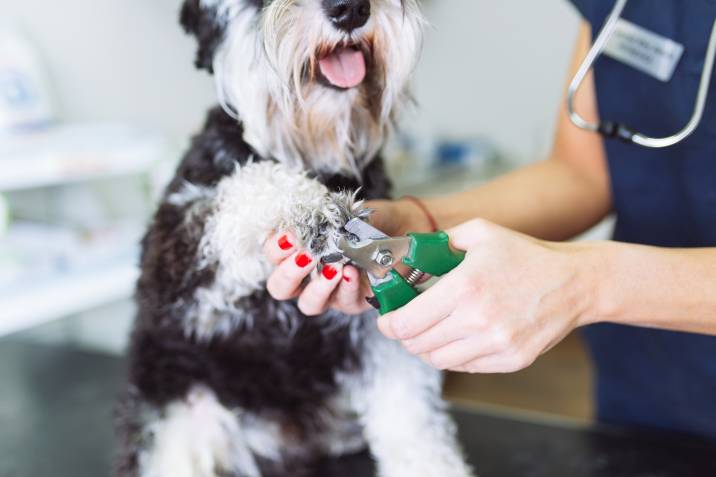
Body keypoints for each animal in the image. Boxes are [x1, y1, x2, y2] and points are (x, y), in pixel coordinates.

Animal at [116, 0, 476, 476]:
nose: (350, 9)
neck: (313, 153)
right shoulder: (178, 260)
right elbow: (250, 185)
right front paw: (313, 211)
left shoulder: (378, 334)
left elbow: (414, 425)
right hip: (181, 408)